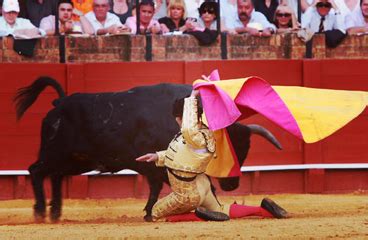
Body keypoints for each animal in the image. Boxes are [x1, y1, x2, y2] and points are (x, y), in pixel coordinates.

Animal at [12, 77, 280, 221]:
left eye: (246, 149)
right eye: (232, 149)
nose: (233, 185)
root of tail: (59, 103)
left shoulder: (154, 167)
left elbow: (155, 187)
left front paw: (148, 211)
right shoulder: (158, 166)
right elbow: (158, 186)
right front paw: (150, 212)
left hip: (74, 160)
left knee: (55, 177)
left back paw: (55, 212)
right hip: (54, 154)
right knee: (36, 171)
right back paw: (40, 212)